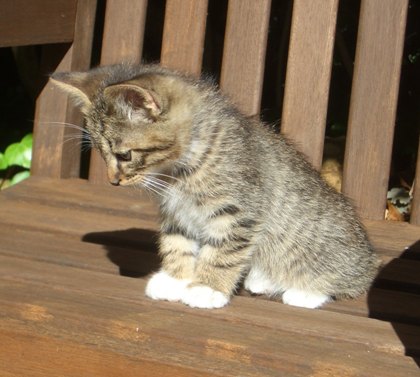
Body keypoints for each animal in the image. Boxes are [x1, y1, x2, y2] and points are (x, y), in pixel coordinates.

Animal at [50, 64, 378, 308]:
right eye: (101, 154)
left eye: (123, 155)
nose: (113, 180)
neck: (178, 172)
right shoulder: (176, 212)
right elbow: (177, 242)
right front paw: (176, 279)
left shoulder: (239, 211)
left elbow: (223, 251)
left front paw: (207, 288)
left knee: (351, 277)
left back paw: (305, 292)